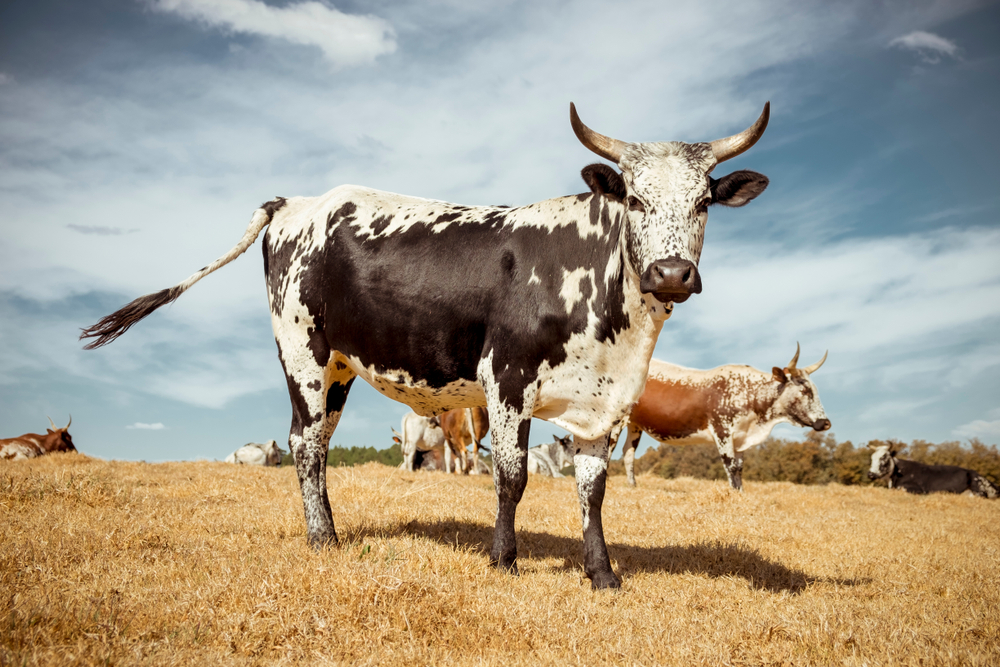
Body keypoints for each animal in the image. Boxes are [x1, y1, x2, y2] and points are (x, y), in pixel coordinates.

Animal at [81, 101, 771, 589]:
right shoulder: (506, 379)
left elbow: (592, 490)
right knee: (306, 446)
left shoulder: (600, 404)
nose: (672, 273)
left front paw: (601, 574)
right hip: (302, 353)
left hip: (339, 367)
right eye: (634, 197)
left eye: (705, 201)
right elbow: (511, 476)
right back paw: (323, 541)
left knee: (316, 441)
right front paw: (503, 561)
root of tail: (299, 202)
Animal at [618, 345, 830, 491]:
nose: (826, 423)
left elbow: (739, 467)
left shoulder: (741, 438)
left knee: (628, 452)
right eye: (804, 390)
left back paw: (632, 486)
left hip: (634, 424)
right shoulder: (722, 431)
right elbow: (730, 466)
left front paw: (741, 494)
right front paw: (734, 495)